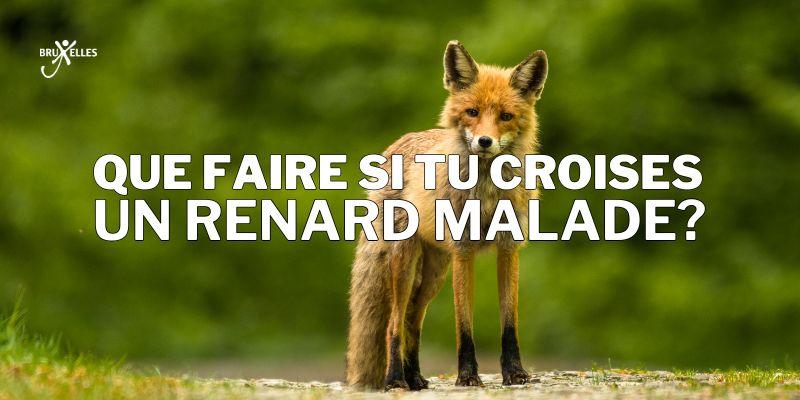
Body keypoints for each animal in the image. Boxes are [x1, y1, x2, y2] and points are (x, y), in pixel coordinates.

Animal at [346, 40, 548, 390]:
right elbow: (463, 326)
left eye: (506, 116)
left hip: (434, 273)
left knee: (412, 321)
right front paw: (468, 377)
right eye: (472, 112)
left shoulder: (508, 248)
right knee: (394, 323)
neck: (486, 194)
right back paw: (396, 380)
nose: (484, 141)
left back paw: (415, 378)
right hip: (405, 263)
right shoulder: (463, 251)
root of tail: (399, 142)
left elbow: (509, 324)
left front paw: (515, 374)